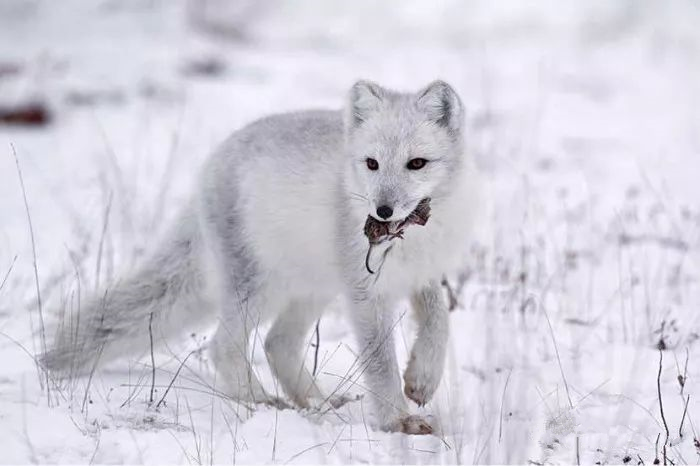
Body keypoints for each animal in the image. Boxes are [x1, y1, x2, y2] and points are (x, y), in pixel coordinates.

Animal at [42, 79, 482, 434]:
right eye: (372, 163)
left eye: (417, 163)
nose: (383, 211)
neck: (411, 239)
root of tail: (212, 162)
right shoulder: (366, 294)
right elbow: (380, 362)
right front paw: (397, 421)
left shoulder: (423, 274)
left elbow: (439, 322)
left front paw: (422, 380)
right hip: (257, 287)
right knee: (224, 346)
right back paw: (262, 402)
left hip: (312, 288)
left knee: (277, 343)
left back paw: (319, 402)